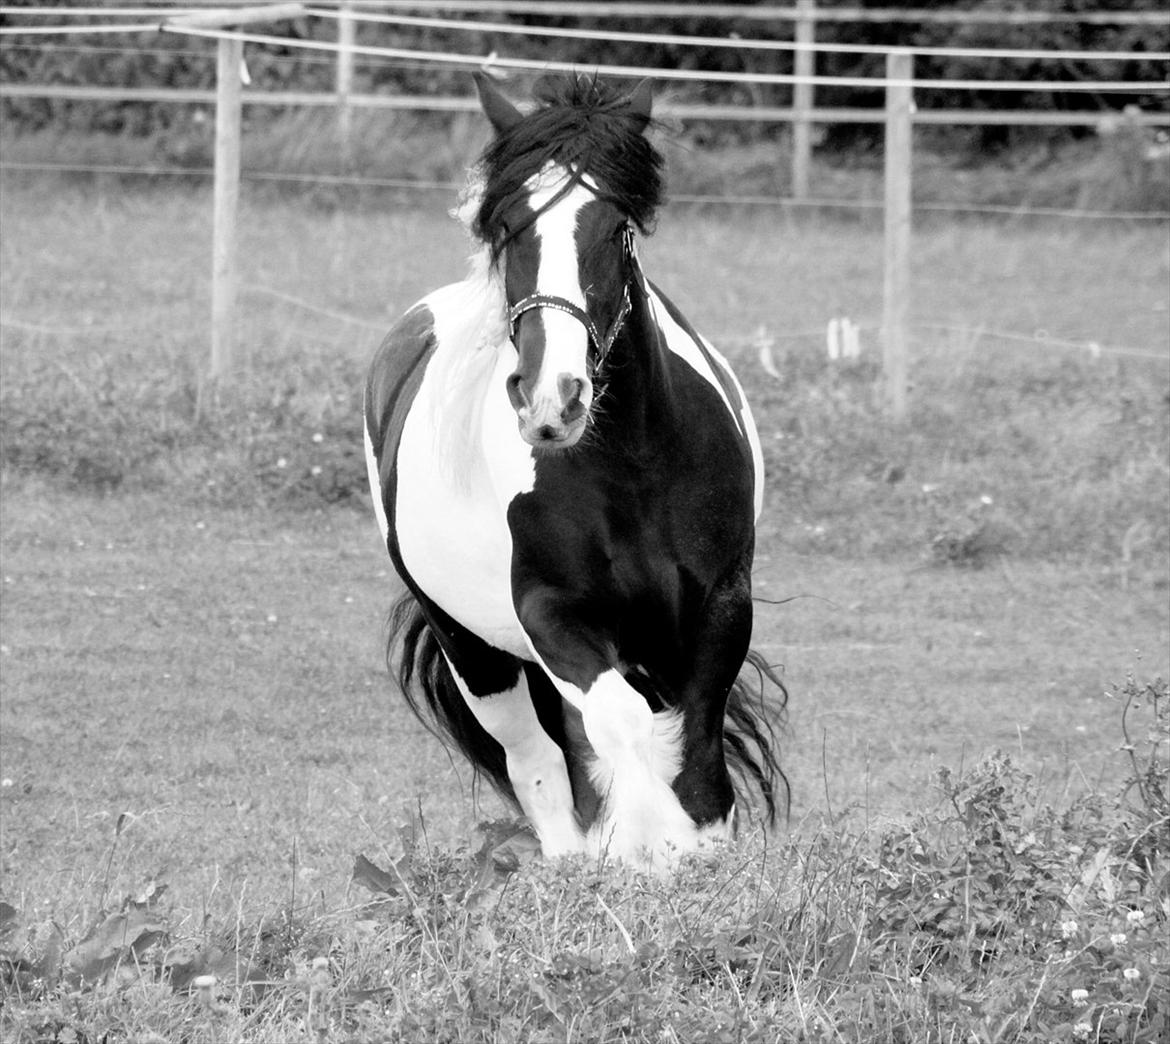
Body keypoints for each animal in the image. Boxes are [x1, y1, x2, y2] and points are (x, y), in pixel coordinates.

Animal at [365, 67, 786, 866]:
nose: (552, 398)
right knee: (541, 771)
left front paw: (700, 855)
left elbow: (700, 755)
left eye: (617, 229)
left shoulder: (719, 609)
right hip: (475, 651)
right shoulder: (553, 616)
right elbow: (620, 729)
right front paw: (644, 850)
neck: (633, 470)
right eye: (506, 229)